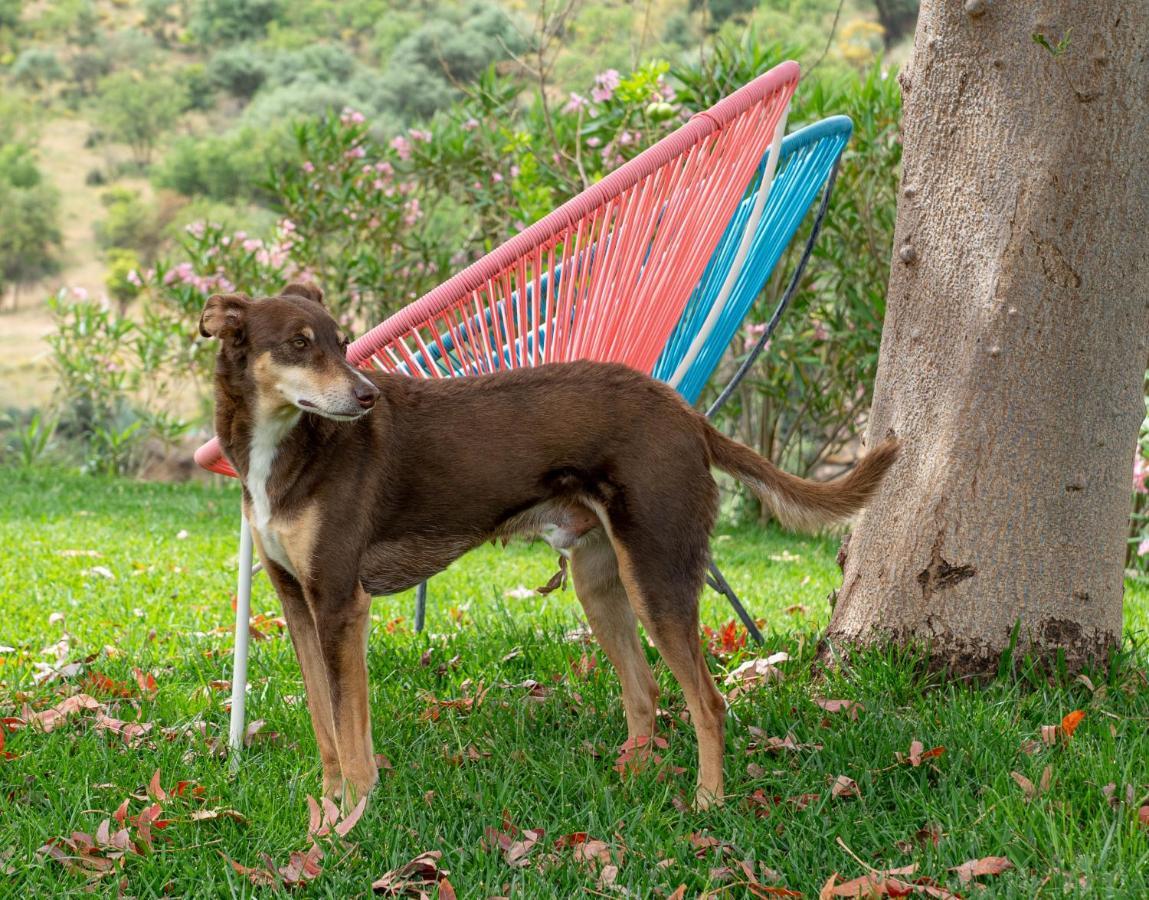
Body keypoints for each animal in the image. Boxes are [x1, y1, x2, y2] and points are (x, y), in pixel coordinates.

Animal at [199, 281, 896, 809]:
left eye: (342, 344)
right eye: (299, 344)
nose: (367, 397)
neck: (287, 449)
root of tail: (685, 413)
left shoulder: (342, 603)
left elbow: (351, 736)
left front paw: (352, 824)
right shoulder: (299, 603)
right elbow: (326, 728)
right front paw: (326, 813)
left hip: (659, 579)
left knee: (709, 702)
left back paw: (706, 805)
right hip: (601, 582)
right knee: (644, 692)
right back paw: (632, 786)